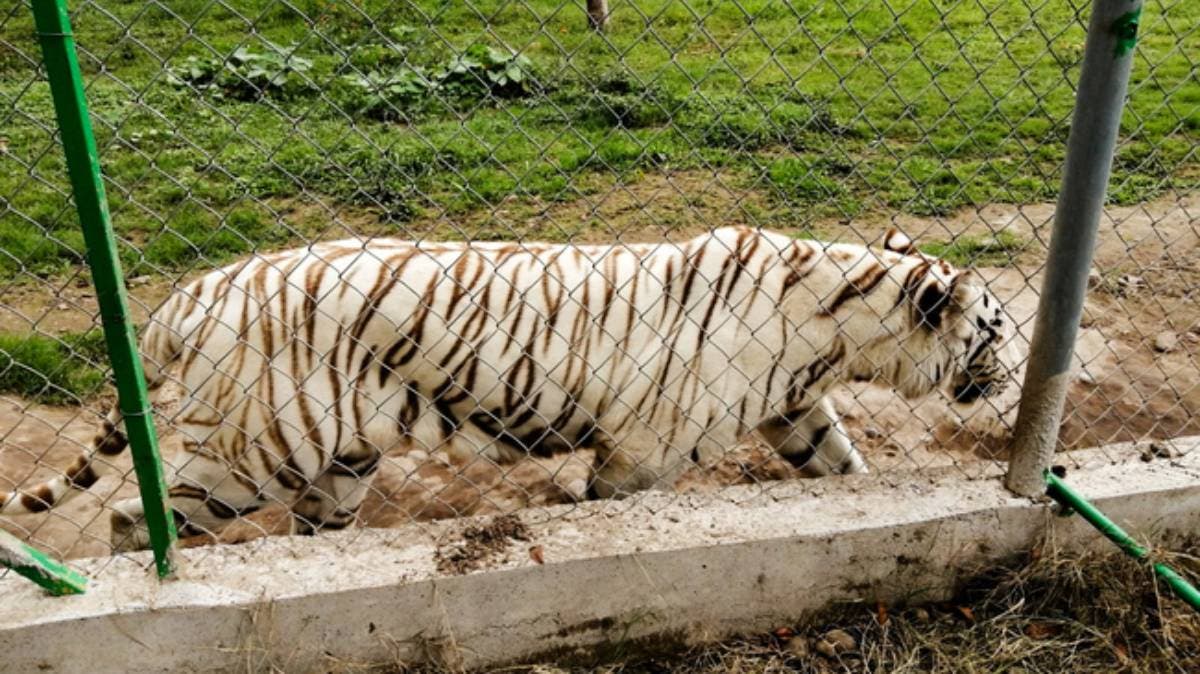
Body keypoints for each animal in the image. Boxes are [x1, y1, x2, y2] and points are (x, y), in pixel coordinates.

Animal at [1, 226, 1013, 551]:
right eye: (998, 330)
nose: (1013, 377)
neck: (838, 329)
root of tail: (193, 291)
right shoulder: (645, 450)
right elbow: (611, 506)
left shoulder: (795, 407)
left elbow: (842, 469)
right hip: (257, 450)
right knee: (134, 518)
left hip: (340, 461)